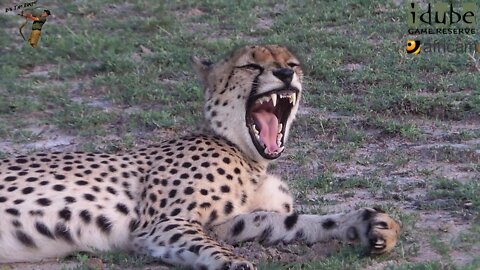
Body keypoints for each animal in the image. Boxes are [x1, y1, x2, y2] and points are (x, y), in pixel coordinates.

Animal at [0, 45, 400, 268]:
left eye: (293, 63)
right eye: (251, 66)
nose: (286, 73)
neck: (250, 156)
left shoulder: (228, 222)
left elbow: (294, 223)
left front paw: (370, 224)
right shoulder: (162, 224)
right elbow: (209, 246)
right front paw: (237, 265)